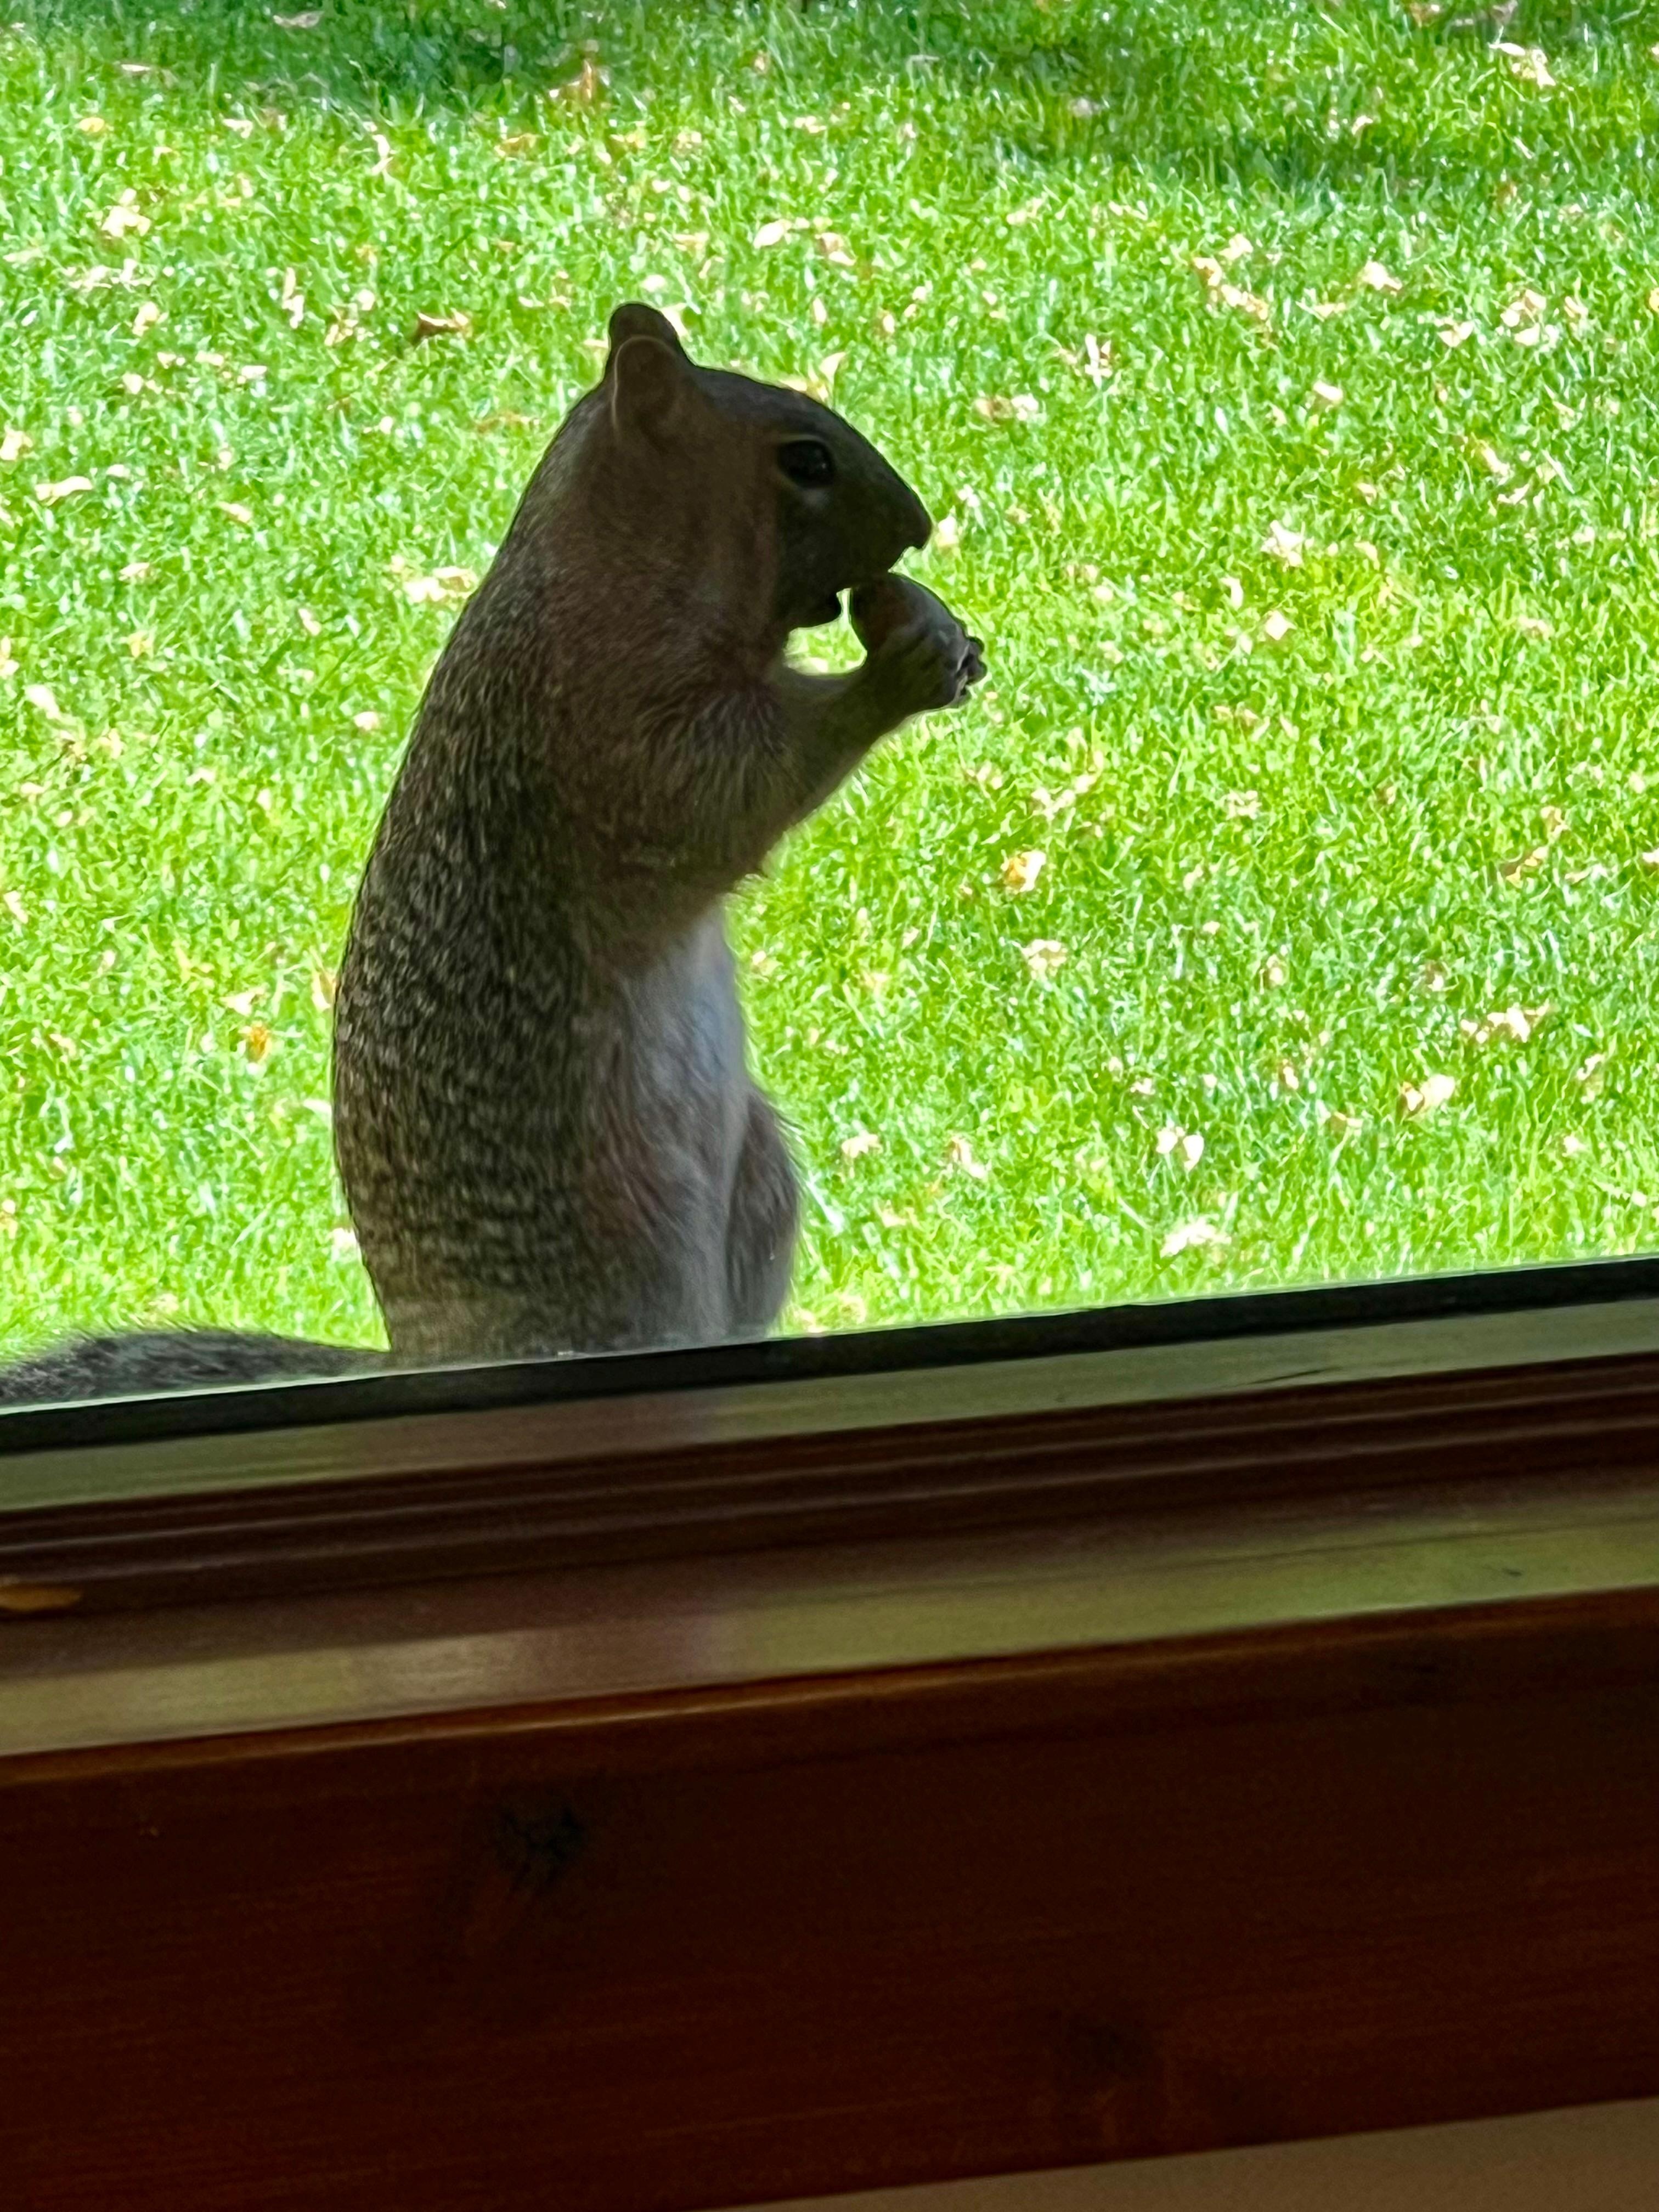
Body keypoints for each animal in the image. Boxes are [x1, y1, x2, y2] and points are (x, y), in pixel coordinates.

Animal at [0, 303, 983, 1404]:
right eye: (804, 459)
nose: (917, 527)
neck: (604, 559)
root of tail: (431, 1354)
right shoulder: (609, 722)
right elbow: (727, 787)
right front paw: (899, 665)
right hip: (617, 1238)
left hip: (757, 1180)